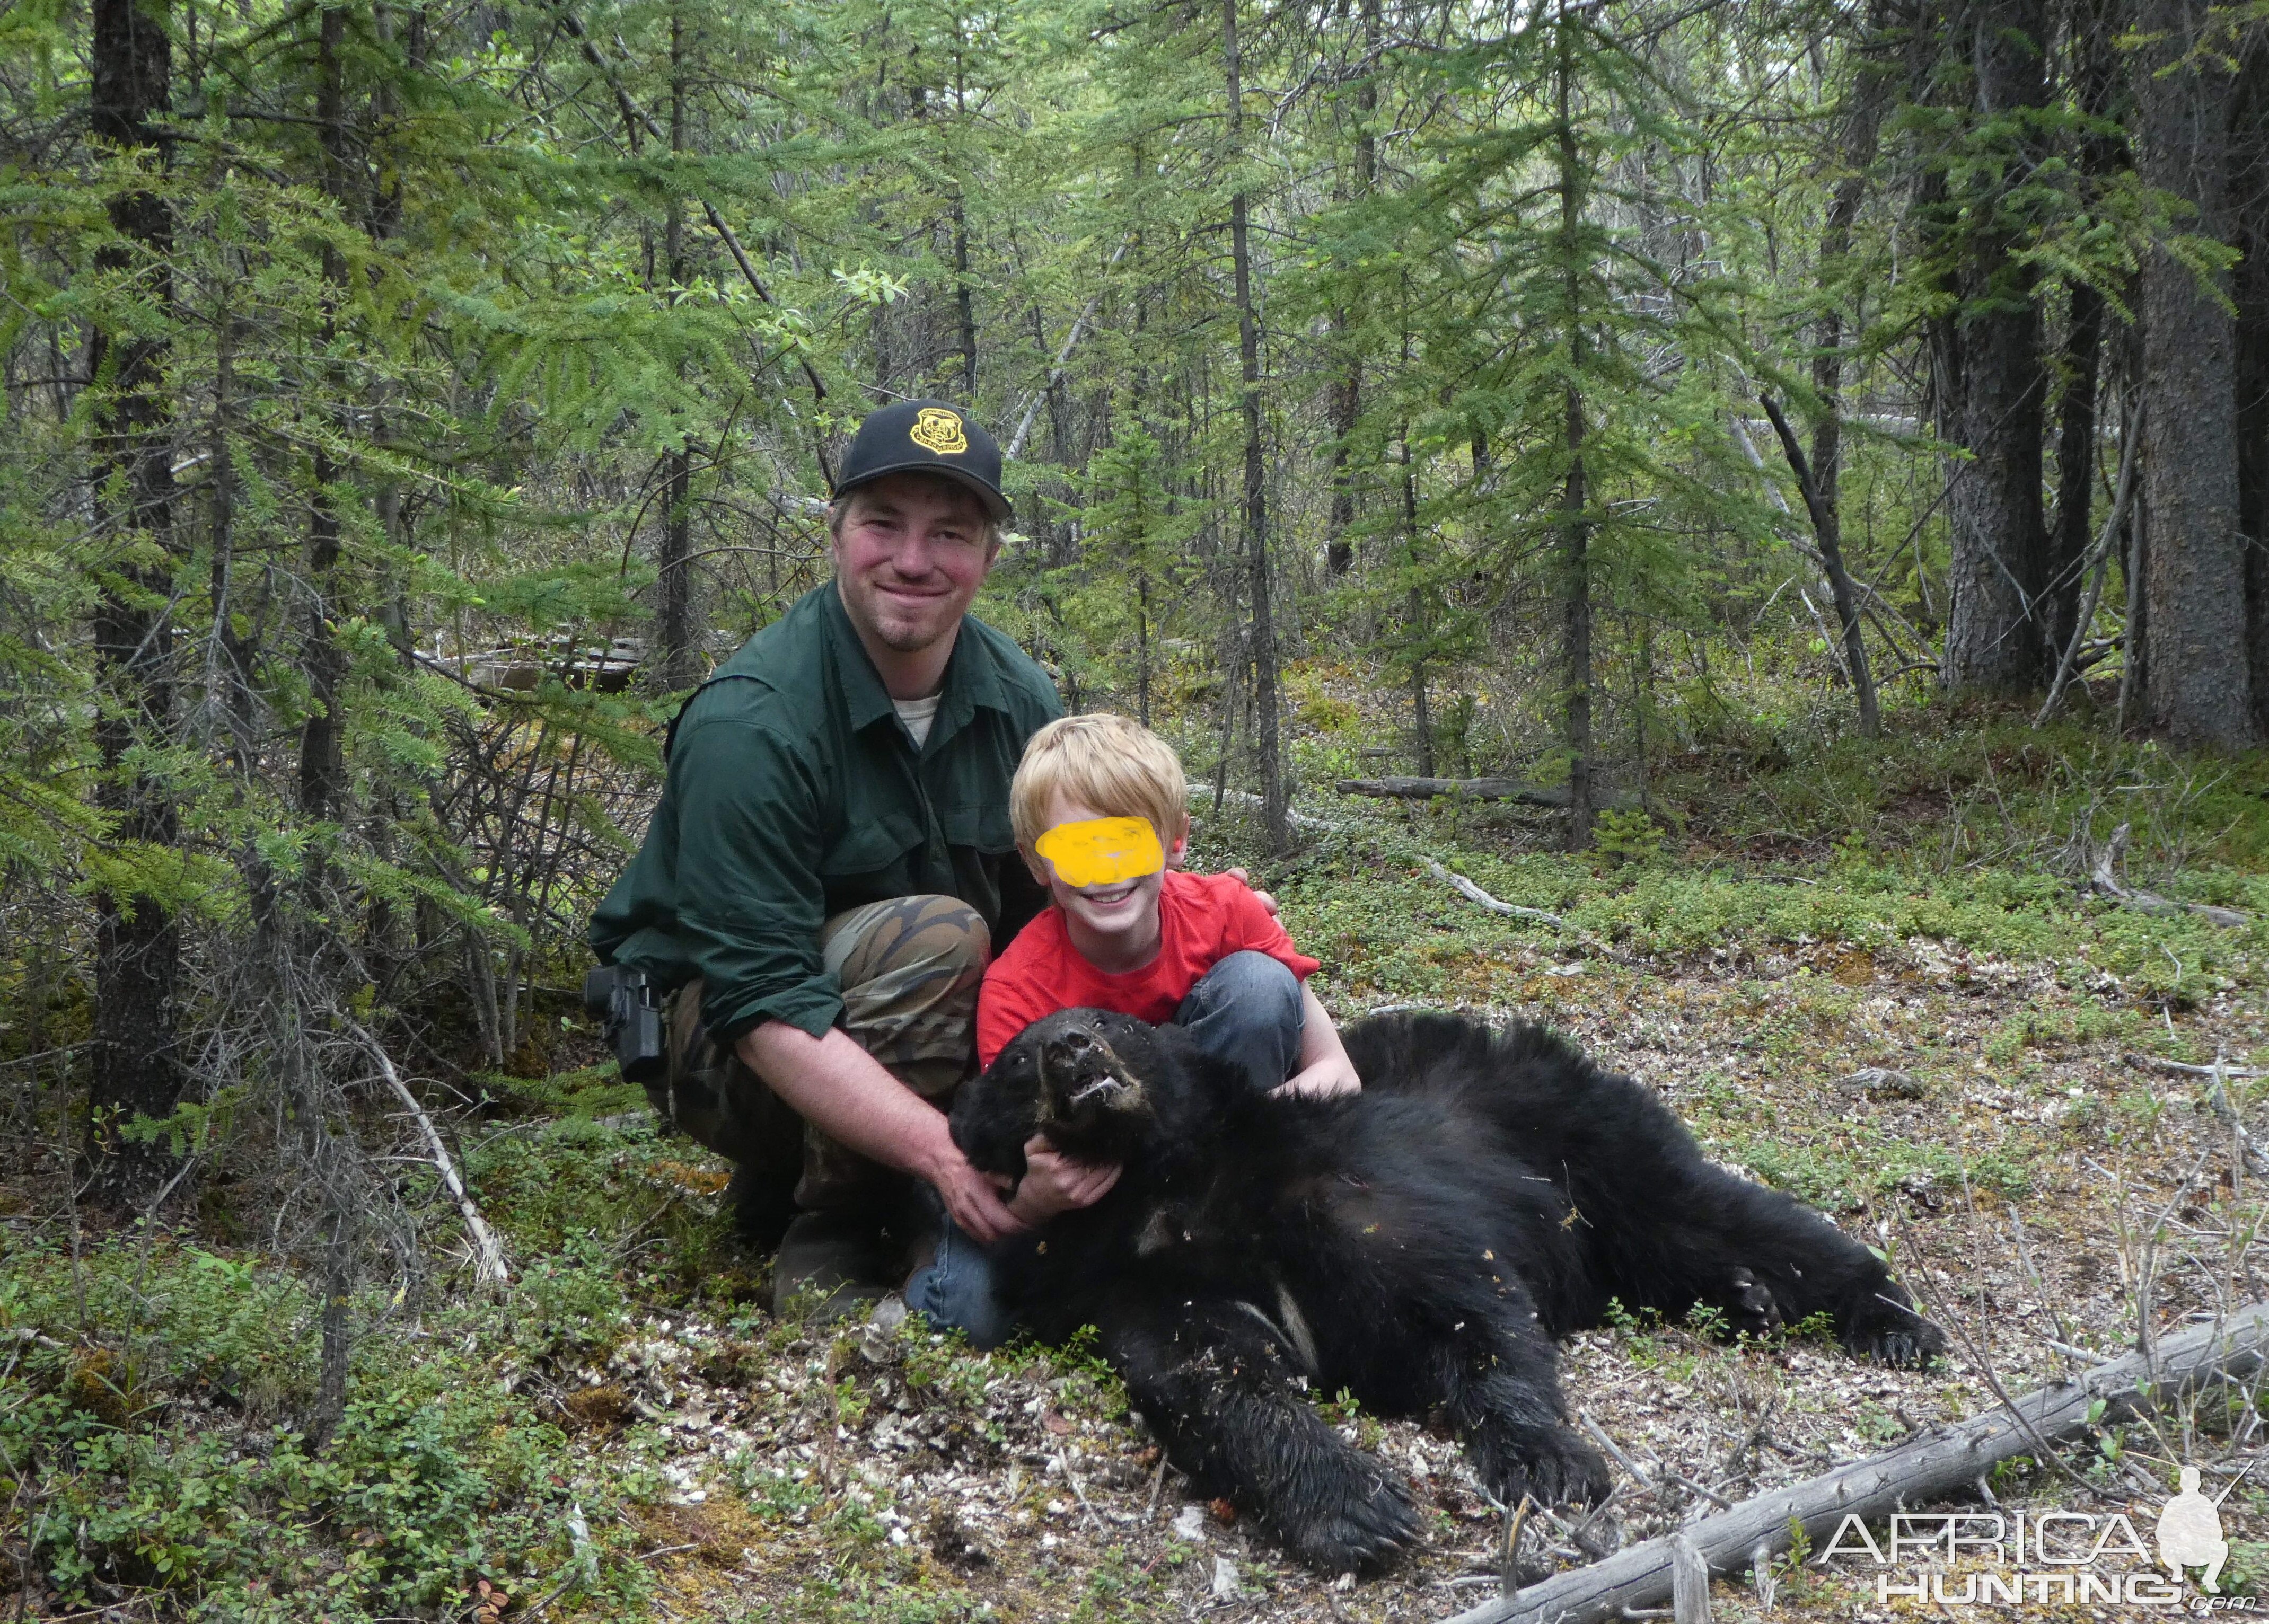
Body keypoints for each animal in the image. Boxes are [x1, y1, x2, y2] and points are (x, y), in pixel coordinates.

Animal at [948, 1007, 1942, 1578]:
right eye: (1015, 1058)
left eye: (1114, 1019)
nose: (1071, 1047)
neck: (1169, 1183)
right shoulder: (1139, 1276)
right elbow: (1208, 1373)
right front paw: (1358, 1507)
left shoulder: (1347, 1187)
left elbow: (1461, 1298)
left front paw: (1543, 1460)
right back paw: (1747, 1300)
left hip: (1576, 1140)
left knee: (1714, 1213)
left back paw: (1890, 1318)